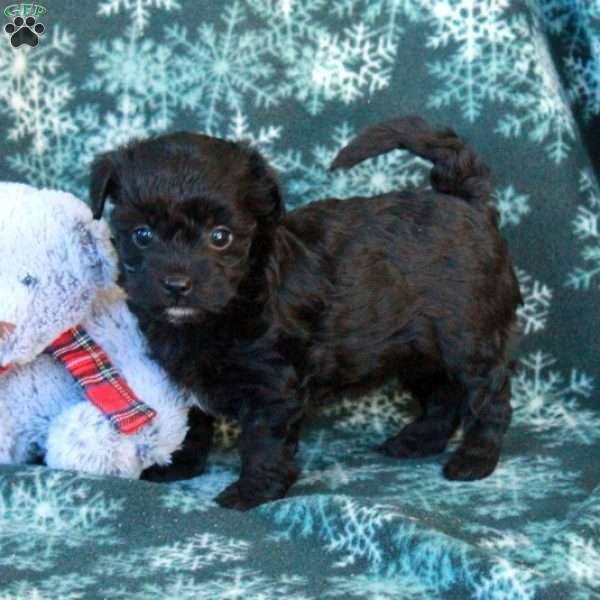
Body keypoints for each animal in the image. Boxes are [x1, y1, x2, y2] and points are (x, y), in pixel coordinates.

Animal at [91, 117, 524, 510]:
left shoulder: (273, 386)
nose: (177, 284)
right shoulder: (187, 378)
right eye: (141, 235)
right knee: (441, 396)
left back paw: (475, 460)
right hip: (417, 347)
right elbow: (193, 425)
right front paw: (180, 466)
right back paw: (418, 441)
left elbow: (263, 442)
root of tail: (463, 198)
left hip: (470, 339)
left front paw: (253, 491)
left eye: (220, 237)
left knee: (489, 397)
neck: (232, 301)